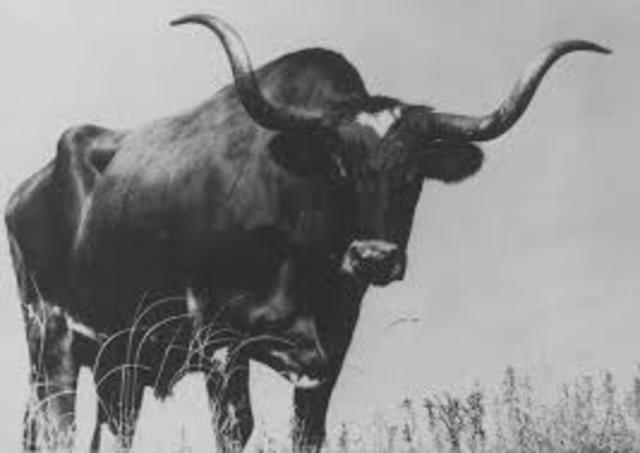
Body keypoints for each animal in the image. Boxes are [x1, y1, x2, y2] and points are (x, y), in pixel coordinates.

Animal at [4, 13, 609, 453]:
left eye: (415, 172)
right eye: (339, 166)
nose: (373, 257)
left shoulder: (328, 355)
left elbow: (306, 433)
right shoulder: (221, 343)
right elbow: (235, 430)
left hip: (120, 360)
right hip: (53, 341)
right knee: (54, 429)